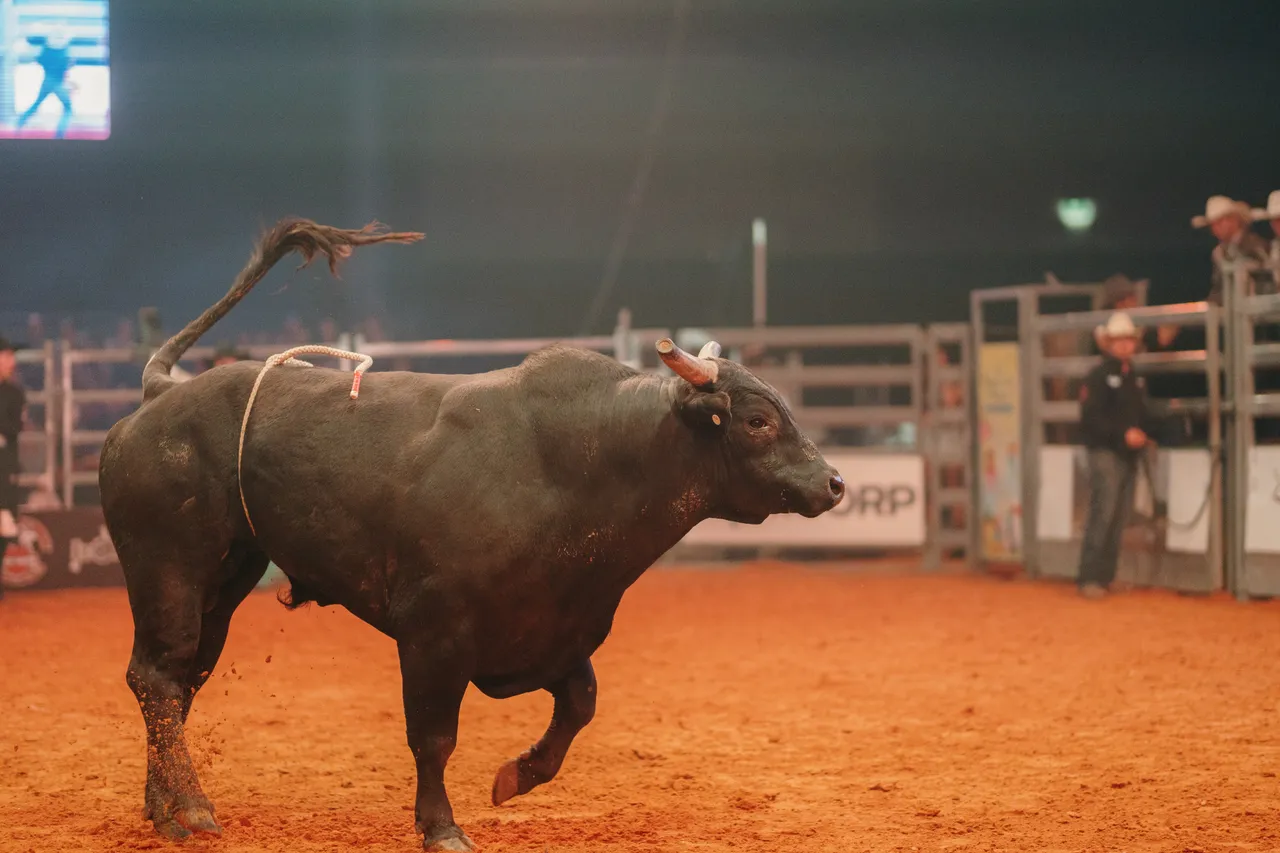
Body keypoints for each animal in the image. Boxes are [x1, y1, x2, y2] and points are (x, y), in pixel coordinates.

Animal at [99, 218, 846, 851]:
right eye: (756, 420)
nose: (834, 482)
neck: (577, 461)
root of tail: (159, 394)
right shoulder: (435, 634)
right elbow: (434, 737)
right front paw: (442, 827)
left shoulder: (555, 627)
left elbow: (580, 702)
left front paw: (518, 775)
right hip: (169, 569)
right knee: (160, 678)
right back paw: (192, 810)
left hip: (227, 578)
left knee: (175, 682)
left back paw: (163, 806)